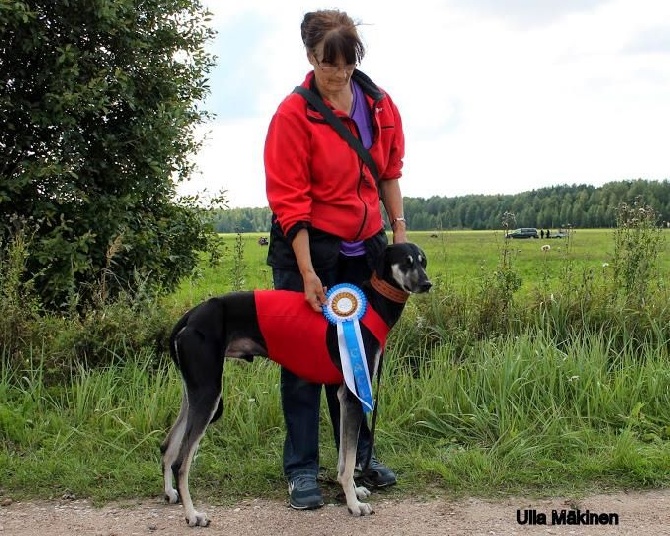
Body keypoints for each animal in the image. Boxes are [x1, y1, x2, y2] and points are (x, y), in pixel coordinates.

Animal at [161, 244, 434, 528]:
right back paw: (192, 514)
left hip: (195, 393)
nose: (427, 284)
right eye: (407, 262)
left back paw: (170, 493)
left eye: (423, 261)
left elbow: (343, 459)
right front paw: (354, 505)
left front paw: (353, 492)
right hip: (208, 394)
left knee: (167, 446)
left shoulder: (342, 395)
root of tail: (191, 316)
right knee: (181, 462)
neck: (371, 304)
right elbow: (348, 463)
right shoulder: (353, 395)